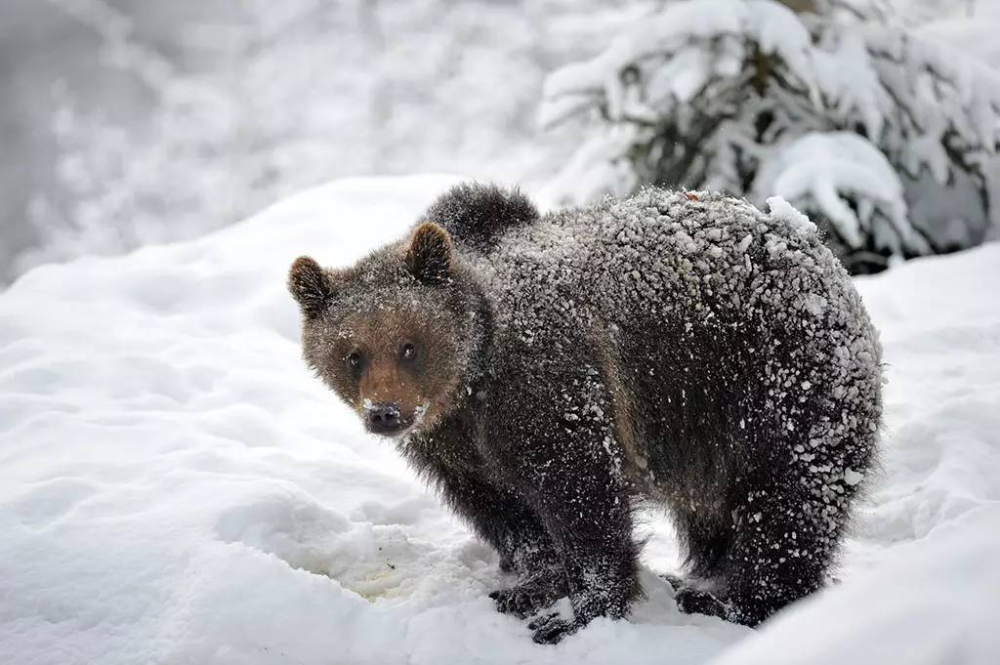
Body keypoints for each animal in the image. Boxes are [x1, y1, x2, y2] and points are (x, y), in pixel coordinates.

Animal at [290, 182, 884, 644]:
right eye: (353, 353)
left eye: (409, 345)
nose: (385, 413)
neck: (469, 385)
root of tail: (818, 248)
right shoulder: (454, 447)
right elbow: (503, 509)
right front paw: (532, 585)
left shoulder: (547, 384)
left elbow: (581, 495)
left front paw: (579, 613)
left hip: (772, 378)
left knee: (789, 503)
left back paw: (738, 602)